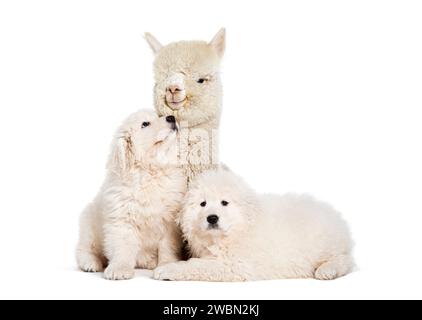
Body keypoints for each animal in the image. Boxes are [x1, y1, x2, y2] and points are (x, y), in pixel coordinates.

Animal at [77, 110, 186, 280]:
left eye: (159, 115)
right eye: (145, 124)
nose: (171, 117)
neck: (151, 171)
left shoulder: (169, 222)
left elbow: (168, 246)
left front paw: (167, 264)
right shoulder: (122, 218)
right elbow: (123, 246)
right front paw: (119, 268)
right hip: (88, 223)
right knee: (85, 249)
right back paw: (90, 262)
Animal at [153, 169, 354, 282]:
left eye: (224, 203)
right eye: (203, 204)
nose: (212, 218)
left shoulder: (235, 265)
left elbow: (196, 266)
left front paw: (167, 269)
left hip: (326, 245)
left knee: (345, 260)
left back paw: (327, 270)